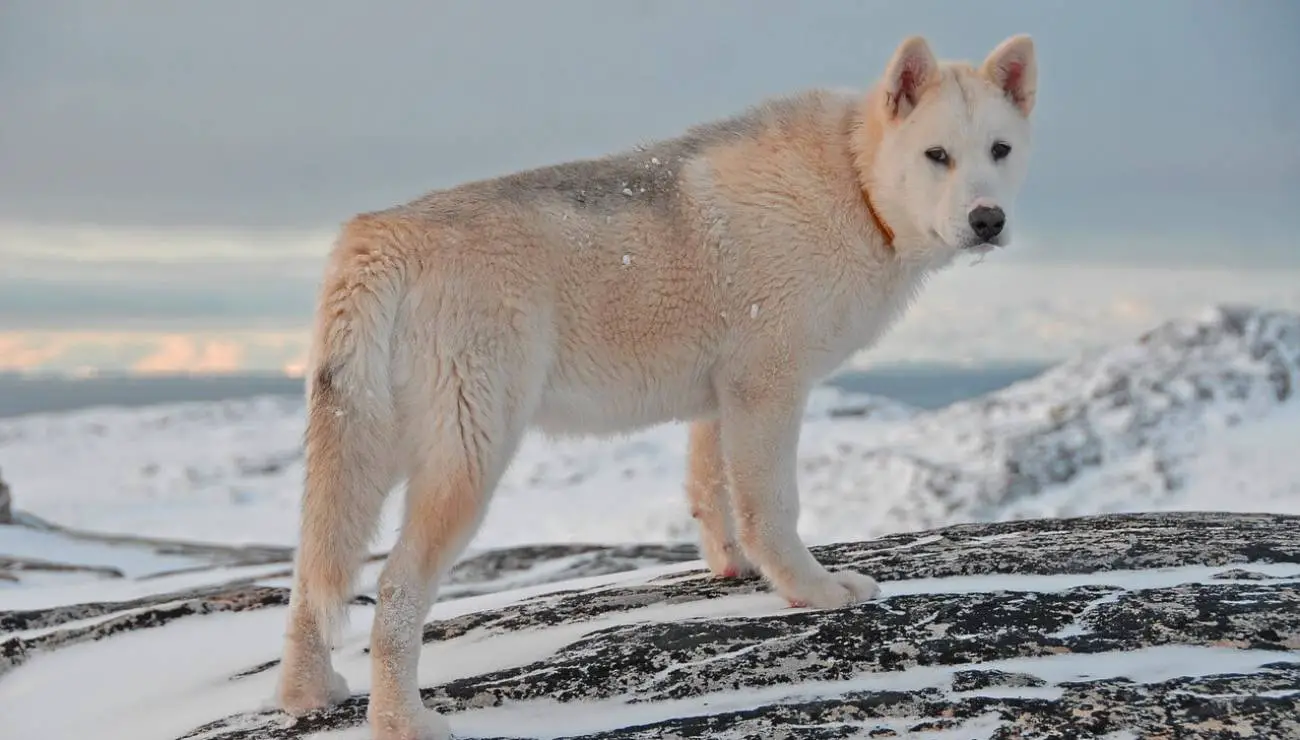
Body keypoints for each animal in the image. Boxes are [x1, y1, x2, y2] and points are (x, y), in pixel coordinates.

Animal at [279, 33, 1040, 733]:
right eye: (937, 155)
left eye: (1000, 151)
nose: (988, 221)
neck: (851, 186)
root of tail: (380, 235)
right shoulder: (769, 389)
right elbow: (773, 510)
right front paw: (811, 589)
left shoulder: (722, 400)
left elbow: (715, 497)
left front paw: (734, 571)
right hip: (466, 462)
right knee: (394, 589)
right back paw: (403, 722)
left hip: (366, 458)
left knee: (311, 578)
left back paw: (308, 695)